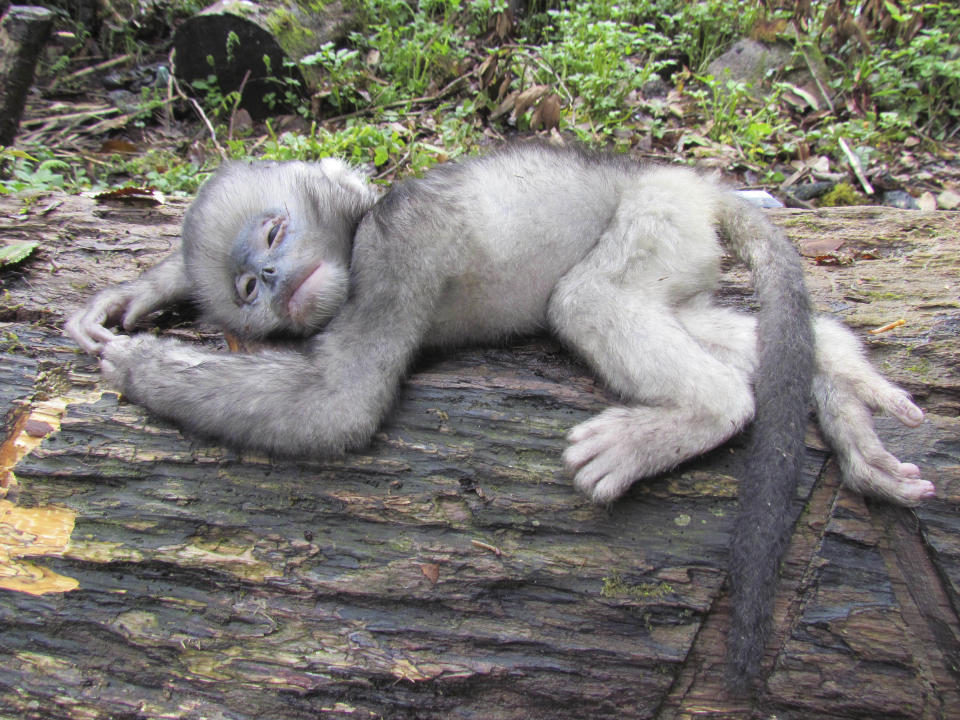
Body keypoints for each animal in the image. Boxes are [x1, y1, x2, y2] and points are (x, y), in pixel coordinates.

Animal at [65, 143, 928, 688]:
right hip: (680, 250)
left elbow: (341, 404)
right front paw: (141, 296)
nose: (273, 279)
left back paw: (699, 415)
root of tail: (684, 178)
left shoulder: (395, 246)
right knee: (741, 336)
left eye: (274, 233)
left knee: (593, 303)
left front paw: (145, 368)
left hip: (655, 218)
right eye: (245, 287)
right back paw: (842, 387)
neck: (359, 236)